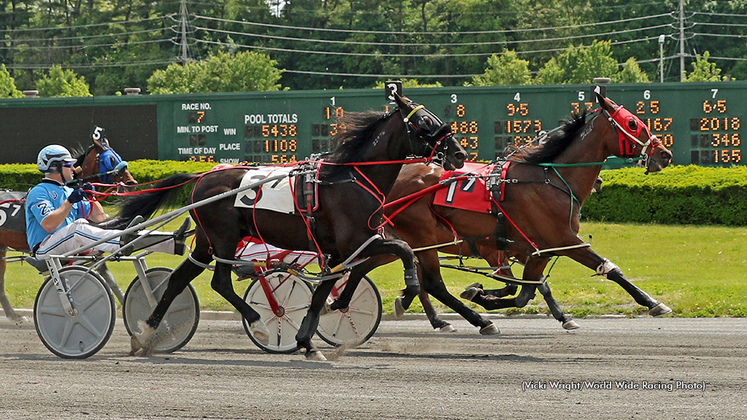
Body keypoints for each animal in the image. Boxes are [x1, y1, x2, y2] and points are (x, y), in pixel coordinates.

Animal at [0, 131, 136, 322]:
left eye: (118, 156)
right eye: (110, 159)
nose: (131, 183)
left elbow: (109, 278)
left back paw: (12, 314)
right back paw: (13, 315)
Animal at [118, 93, 468, 360]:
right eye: (425, 122)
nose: (460, 153)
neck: (351, 178)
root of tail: (203, 175)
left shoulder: (337, 249)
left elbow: (327, 288)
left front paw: (310, 338)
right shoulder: (357, 240)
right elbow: (405, 249)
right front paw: (407, 293)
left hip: (206, 242)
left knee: (180, 279)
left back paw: (145, 333)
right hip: (225, 237)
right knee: (220, 282)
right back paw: (258, 323)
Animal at [336, 93, 676, 334]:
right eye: (633, 124)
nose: (665, 153)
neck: (549, 180)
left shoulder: (537, 249)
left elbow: (528, 290)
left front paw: (483, 293)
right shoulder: (562, 240)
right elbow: (610, 270)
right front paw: (654, 303)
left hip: (406, 242)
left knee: (376, 268)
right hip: (421, 235)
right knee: (430, 282)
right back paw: (472, 320)